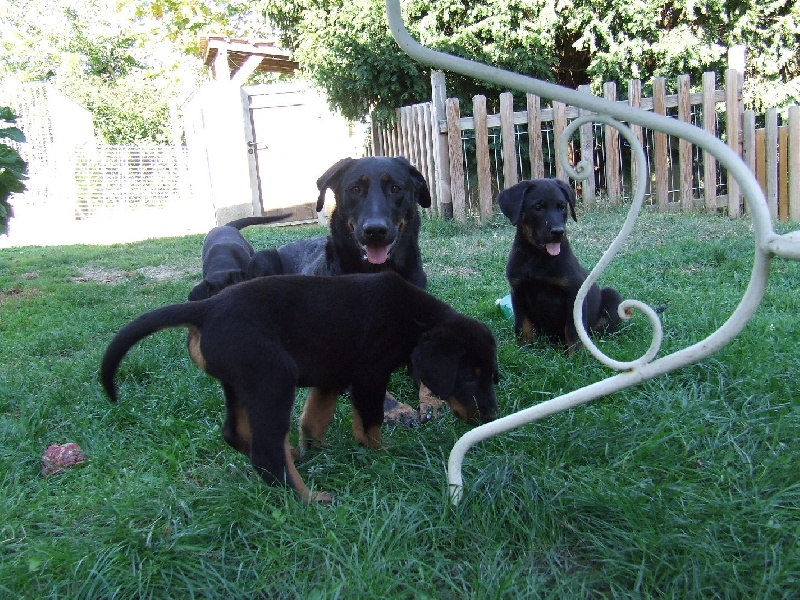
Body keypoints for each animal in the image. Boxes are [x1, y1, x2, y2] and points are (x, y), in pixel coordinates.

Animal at [100, 270, 500, 502]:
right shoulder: (369, 374)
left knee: (237, 433)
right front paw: (384, 452)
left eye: (491, 376)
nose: (491, 416)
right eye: (467, 376)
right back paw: (310, 499)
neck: (415, 320)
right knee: (265, 454)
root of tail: (205, 309)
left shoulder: (330, 377)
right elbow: (368, 423)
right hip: (274, 375)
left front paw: (315, 449)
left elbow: (314, 419)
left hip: (241, 383)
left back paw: (293, 457)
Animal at [496, 177, 620, 346]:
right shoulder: (518, 292)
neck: (537, 257)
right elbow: (523, 327)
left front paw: (576, 353)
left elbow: (573, 331)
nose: (558, 231)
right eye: (538, 207)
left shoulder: (574, 293)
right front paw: (524, 348)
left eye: (561, 207)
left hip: (612, 296)